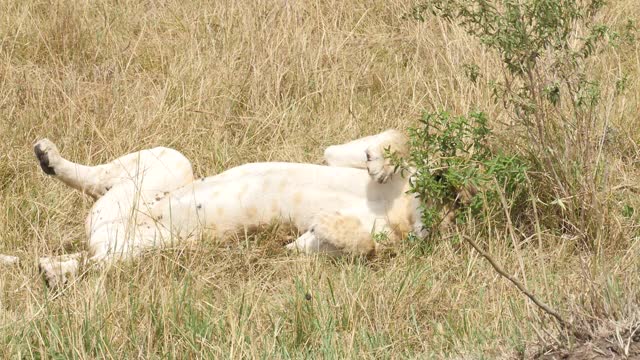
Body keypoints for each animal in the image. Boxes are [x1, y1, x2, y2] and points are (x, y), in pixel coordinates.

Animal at [5, 129, 428, 286]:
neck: (399, 211)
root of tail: (101, 229)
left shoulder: (383, 241)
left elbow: (365, 245)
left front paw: (322, 225)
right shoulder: (338, 158)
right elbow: (391, 138)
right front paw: (382, 161)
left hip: (149, 246)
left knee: (97, 261)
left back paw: (52, 270)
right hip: (171, 165)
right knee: (94, 182)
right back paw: (48, 157)